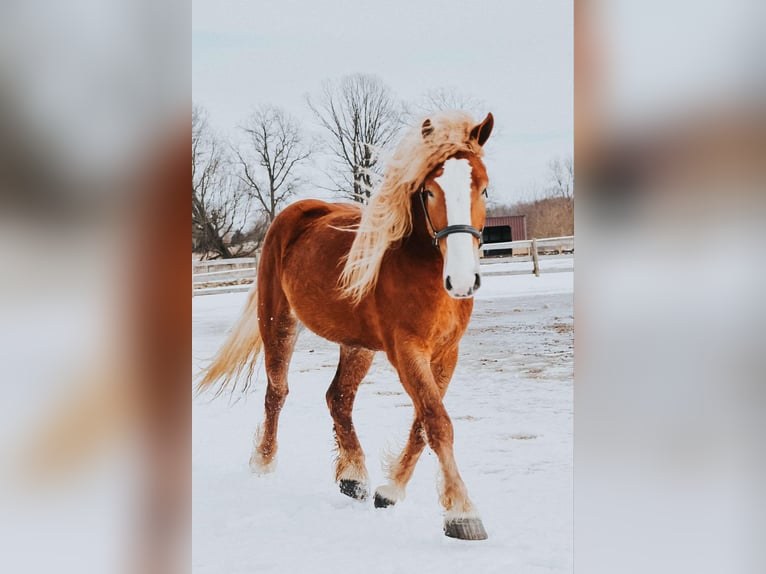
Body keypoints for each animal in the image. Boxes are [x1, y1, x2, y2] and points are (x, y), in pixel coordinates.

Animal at [198, 110, 496, 544]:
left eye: (484, 189)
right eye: (429, 192)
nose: (461, 280)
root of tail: (294, 214)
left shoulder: (445, 353)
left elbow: (423, 423)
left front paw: (390, 492)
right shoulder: (407, 350)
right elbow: (437, 421)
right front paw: (463, 513)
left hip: (358, 345)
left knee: (337, 397)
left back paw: (353, 477)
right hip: (278, 322)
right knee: (276, 392)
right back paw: (263, 463)